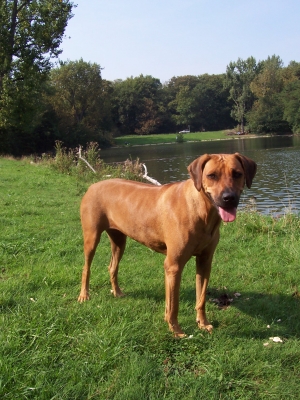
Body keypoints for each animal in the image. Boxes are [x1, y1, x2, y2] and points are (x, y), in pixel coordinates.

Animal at [78, 153, 256, 338]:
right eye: (212, 175)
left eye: (237, 174)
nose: (229, 198)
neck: (202, 210)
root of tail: (93, 185)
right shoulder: (173, 265)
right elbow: (173, 304)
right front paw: (176, 330)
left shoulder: (205, 261)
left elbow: (201, 298)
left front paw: (203, 323)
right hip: (91, 237)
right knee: (86, 268)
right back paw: (84, 295)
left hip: (119, 240)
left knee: (112, 266)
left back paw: (117, 292)